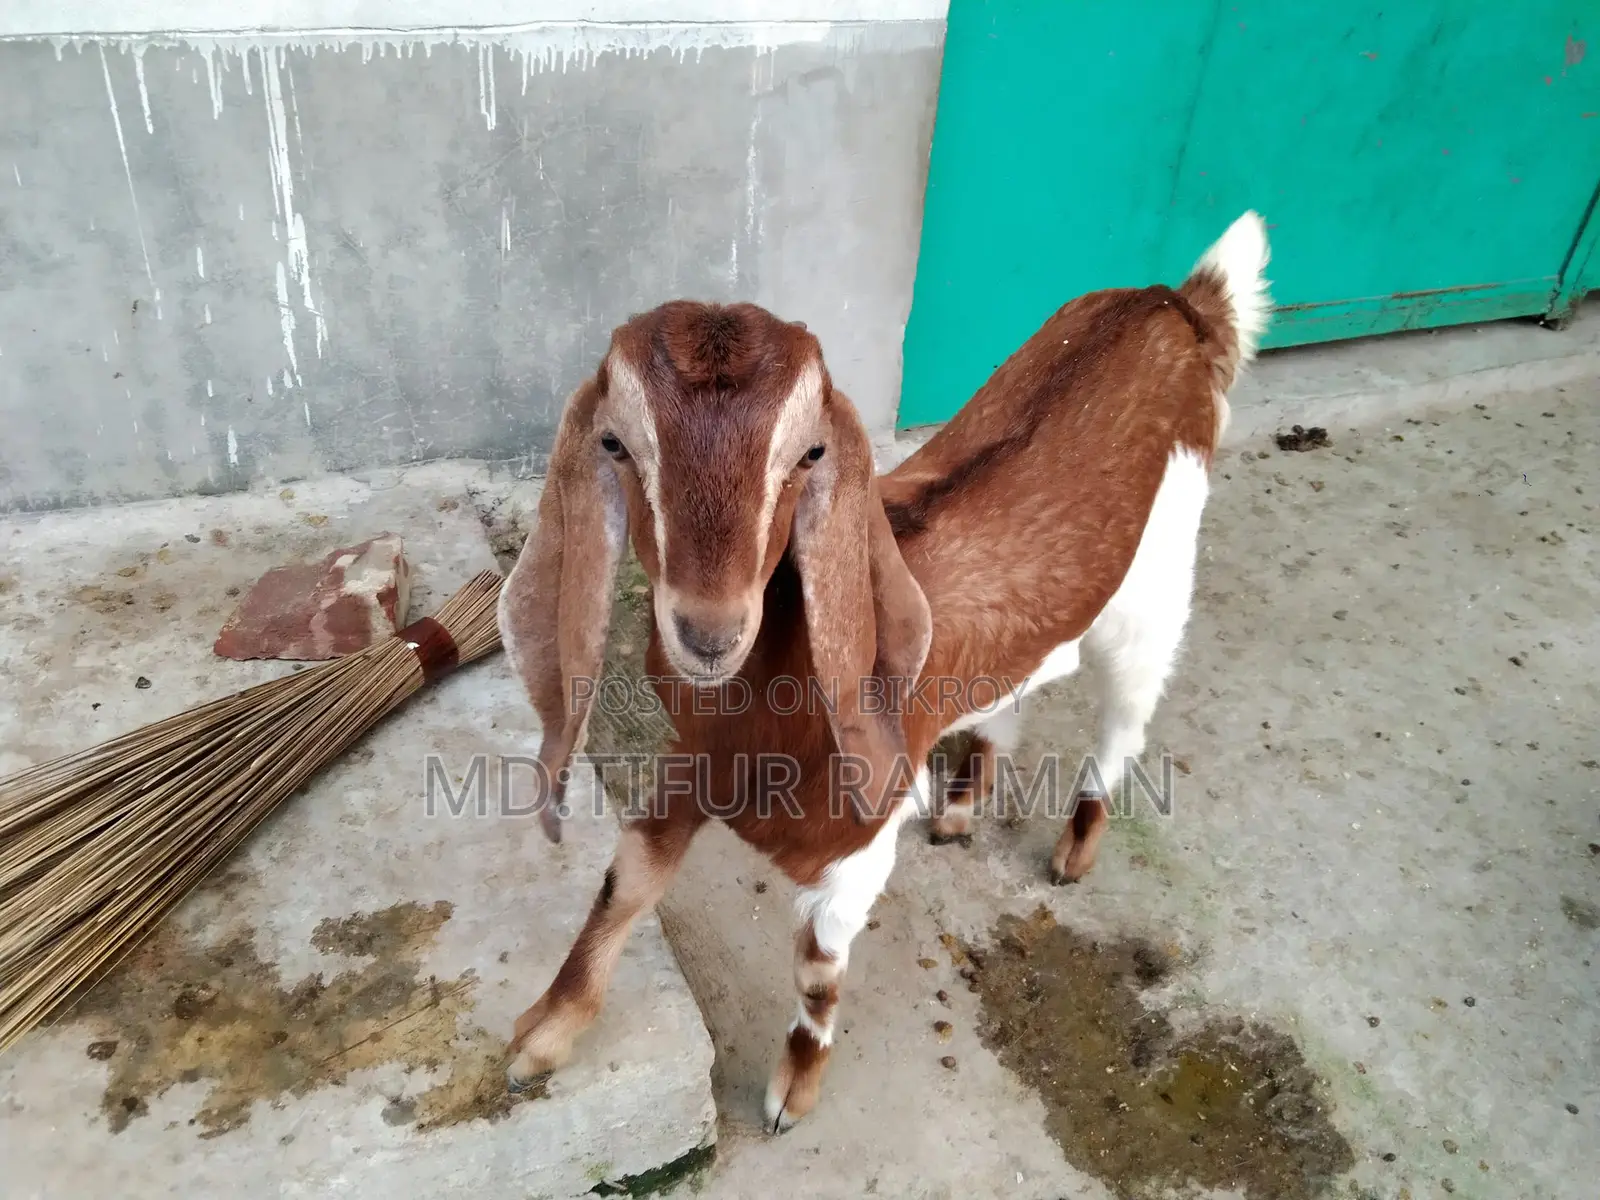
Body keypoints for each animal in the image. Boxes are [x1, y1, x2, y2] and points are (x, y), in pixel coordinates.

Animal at [496, 211, 1272, 1131]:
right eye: (614, 443)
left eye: (810, 455)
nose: (709, 631)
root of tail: (1173, 305)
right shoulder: (693, 761)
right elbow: (626, 882)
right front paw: (542, 1036)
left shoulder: (859, 836)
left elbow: (816, 970)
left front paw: (792, 1093)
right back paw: (963, 807)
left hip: (1153, 594)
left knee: (1126, 715)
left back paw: (1076, 846)